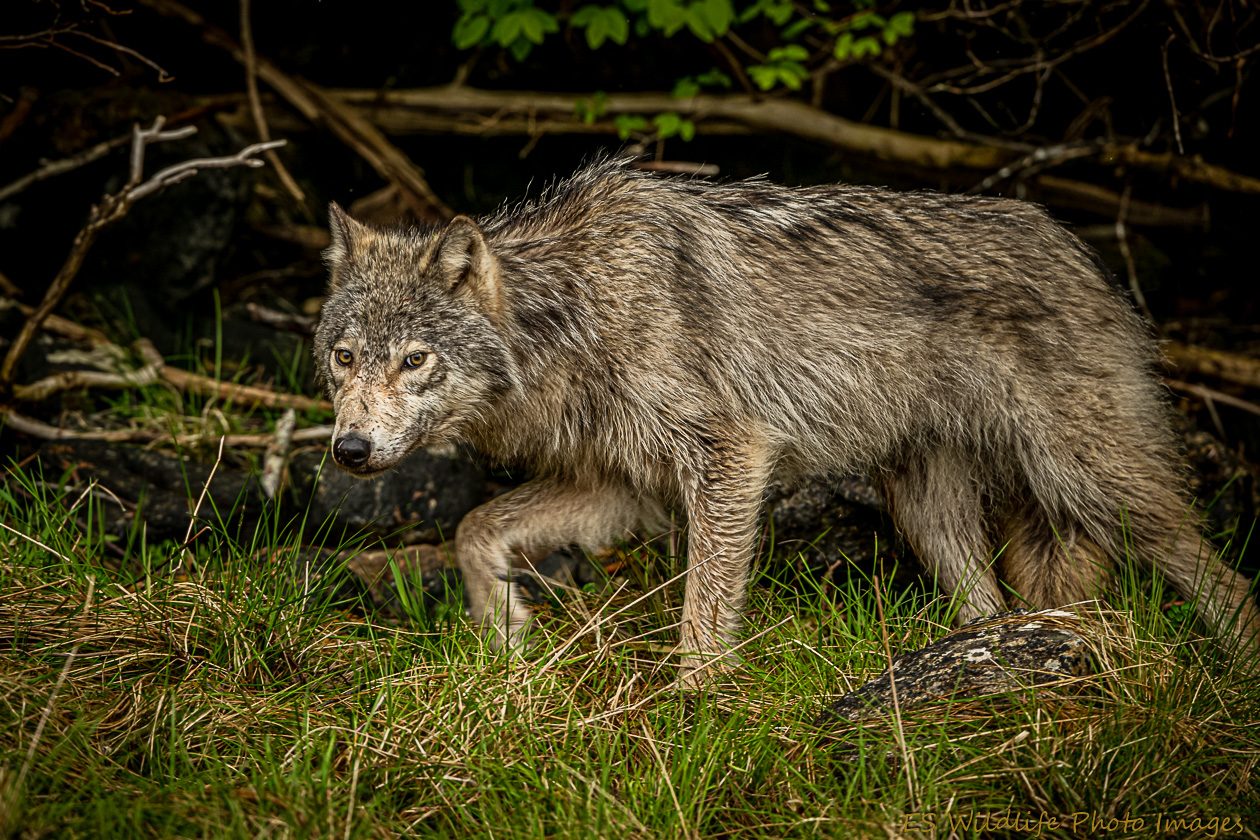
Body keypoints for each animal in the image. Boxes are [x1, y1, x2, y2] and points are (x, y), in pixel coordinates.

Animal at [314, 158, 1259, 683]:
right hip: (930, 517)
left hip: (1091, 484)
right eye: (344, 358)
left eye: (414, 360)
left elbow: (703, 619)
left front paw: (695, 710)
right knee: (988, 607)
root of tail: (1085, 254)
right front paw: (508, 645)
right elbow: (474, 529)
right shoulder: (625, 487)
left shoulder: (729, 459)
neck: (573, 316)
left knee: (1223, 579)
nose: (350, 450)